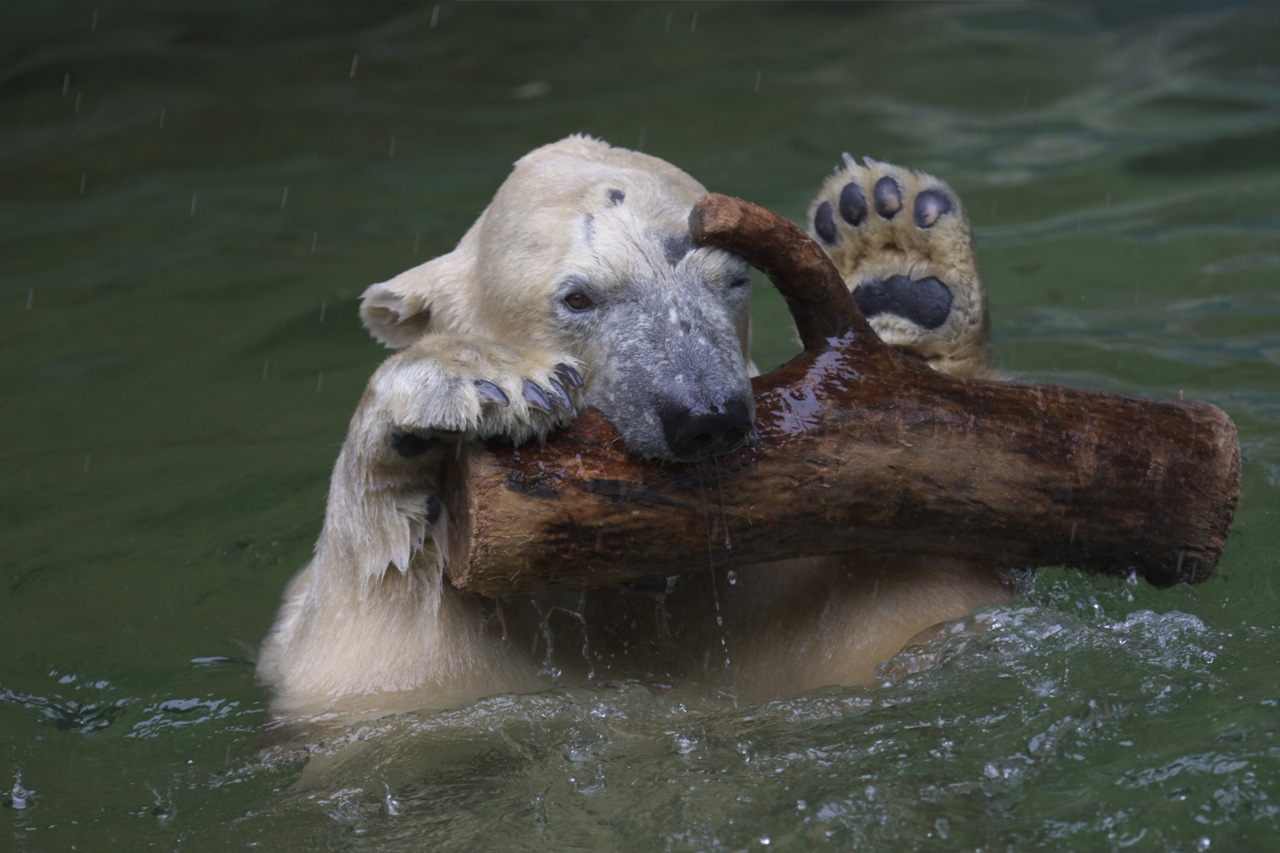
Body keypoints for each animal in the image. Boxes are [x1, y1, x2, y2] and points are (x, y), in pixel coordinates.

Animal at [257, 136, 1008, 722]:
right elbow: (374, 653)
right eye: (577, 297)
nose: (705, 416)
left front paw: (897, 260)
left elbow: (908, 620)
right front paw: (483, 382)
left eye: (733, 279)